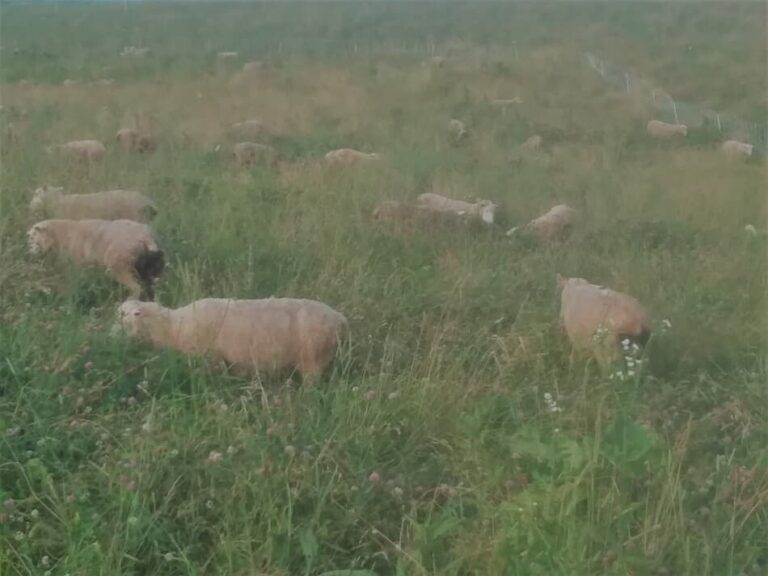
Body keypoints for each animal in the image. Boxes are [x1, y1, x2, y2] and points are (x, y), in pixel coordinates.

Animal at [27, 217, 164, 302]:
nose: (29, 252)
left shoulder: (76, 263)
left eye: (33, 237)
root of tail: (147, 239)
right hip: (151, 269)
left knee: (136, 287)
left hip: (119, 263)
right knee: (152, 288)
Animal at [116, 296, 348, 382]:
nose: (115, 335)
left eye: (134, 314)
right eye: (121, 312)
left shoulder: (211, 358)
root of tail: (340, 318)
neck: (173, 326)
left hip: (313, 359)